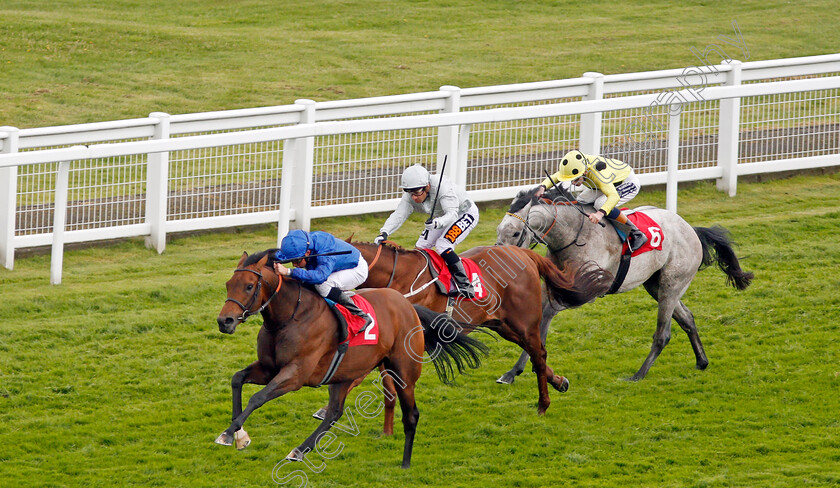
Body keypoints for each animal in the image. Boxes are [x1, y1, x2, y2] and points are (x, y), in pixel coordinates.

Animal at [215, 252, 486, 468]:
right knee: (334, 413)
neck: (289, 317)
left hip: (403, 373)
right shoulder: (268, 368)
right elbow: (237, 379)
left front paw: (228, 433)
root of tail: (407, 305)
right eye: (228, 284)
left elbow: (257, 397)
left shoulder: (295, 375)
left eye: (249, 286)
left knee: (411, 415)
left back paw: (405, 464)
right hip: (345, 374)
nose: (224, 321)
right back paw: (299, 450)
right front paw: (238, 436)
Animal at [350, 242, 612, 414]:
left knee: (538, 355)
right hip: (504, 325)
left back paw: (543, 404)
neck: (400, 279)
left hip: (525, 323)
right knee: (538, 353)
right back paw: (557, 381)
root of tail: (523, 252)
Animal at [496, 187, 752, 382]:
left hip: (673, 283)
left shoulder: (584, 290)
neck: (574, 236)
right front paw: (513, 371)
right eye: (498, 230)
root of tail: (691, 229)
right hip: (655, 285)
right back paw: (701, 361)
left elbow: (547, 315)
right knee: (687, 318)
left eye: (516, 233)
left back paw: (638, 374)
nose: (500, 259)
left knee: (663, 333)